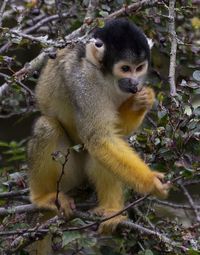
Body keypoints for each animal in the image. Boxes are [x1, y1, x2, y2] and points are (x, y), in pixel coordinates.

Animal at [27, 17, 170, 233]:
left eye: (139, 68)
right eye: (125, 68)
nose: (134, 83)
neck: (107, 77)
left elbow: (113, 134)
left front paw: (141, 101)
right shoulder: (85, 81)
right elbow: (99, 137)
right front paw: (151, 183)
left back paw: (111, 211)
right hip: (67, 175)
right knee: (48, 127)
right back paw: (42, 197)